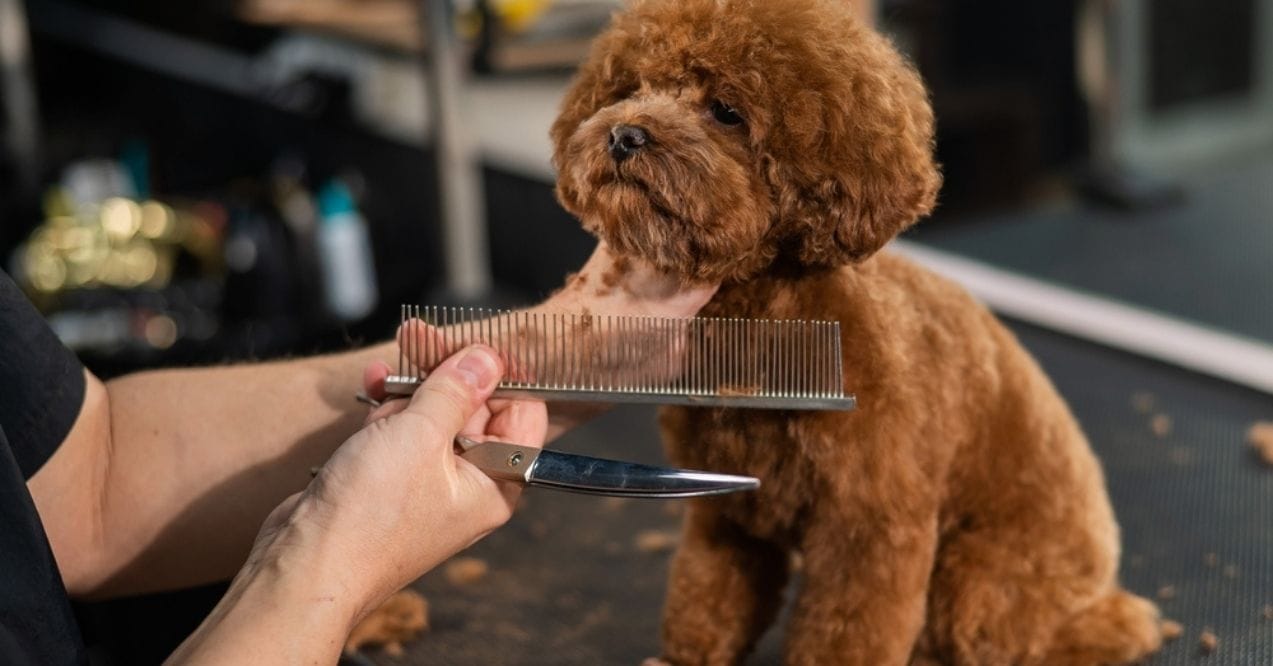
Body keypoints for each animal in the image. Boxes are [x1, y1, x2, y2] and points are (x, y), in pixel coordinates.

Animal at [547, 2, 1166, 662]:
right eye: (631, 89)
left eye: (726, 111)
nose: (624, 134)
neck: (766, 321)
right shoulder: (726, 517)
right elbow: (705, 602)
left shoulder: (870, 530)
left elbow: (847, 632)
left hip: (981, 584)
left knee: (1067, 634)